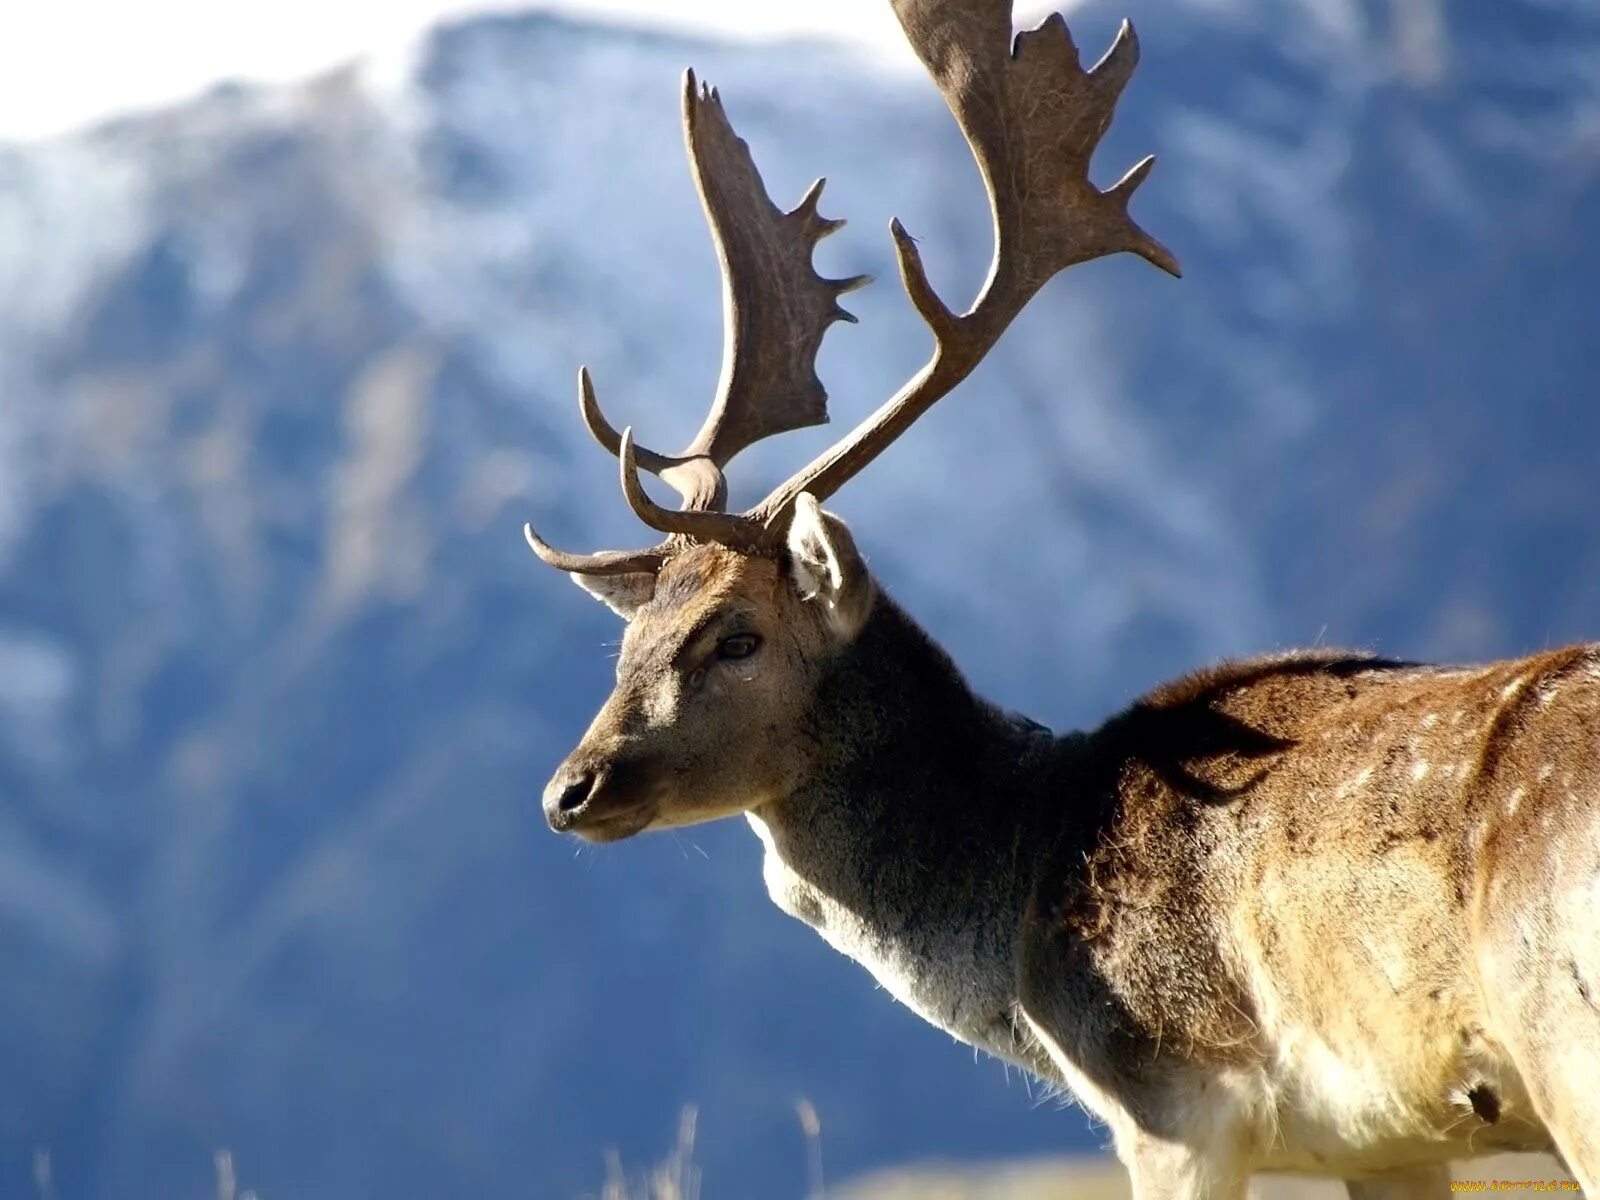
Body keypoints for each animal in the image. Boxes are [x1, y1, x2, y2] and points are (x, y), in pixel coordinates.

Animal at [521, 0, 1600, 1196]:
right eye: (629, 642)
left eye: (738, 637)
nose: (569, 790)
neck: (1023, 939)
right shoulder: (1394, 1136)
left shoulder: (1175, 1098)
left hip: (1565, 1041)